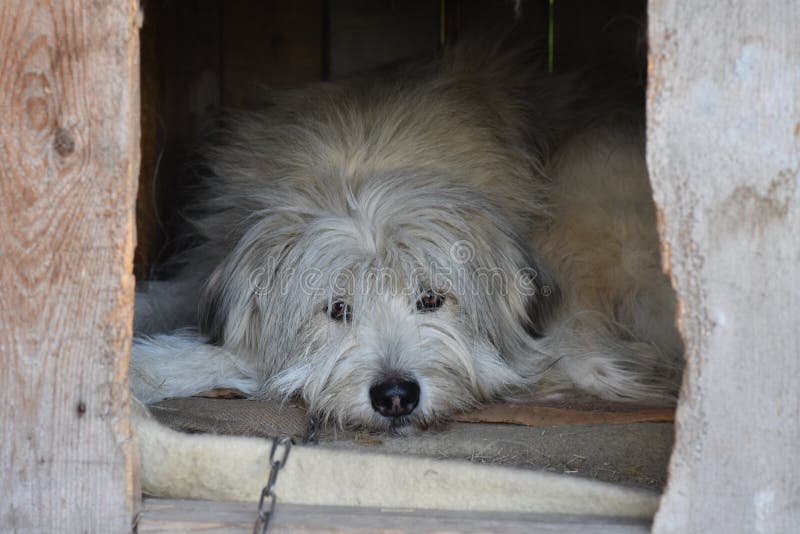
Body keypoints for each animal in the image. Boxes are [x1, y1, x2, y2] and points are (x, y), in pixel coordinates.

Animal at [131, 44, 680, 434]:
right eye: (338, 309)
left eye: (432, 299)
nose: (395, 396)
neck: (360, 168)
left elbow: (238, 355)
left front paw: (151, 363)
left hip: (582, 184)